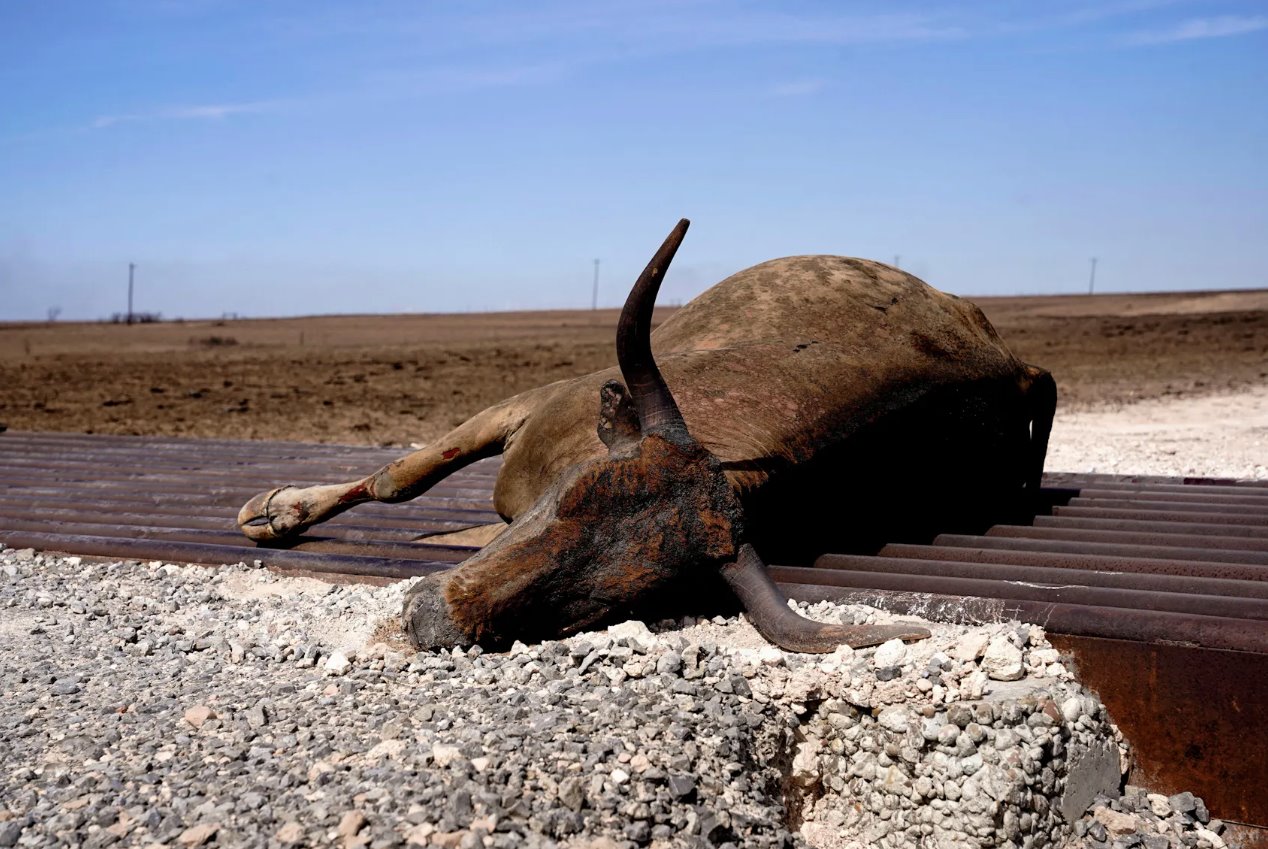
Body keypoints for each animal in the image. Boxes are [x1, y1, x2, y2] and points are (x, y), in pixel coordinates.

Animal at [238, 223, 1049, 653]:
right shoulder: (532, 402)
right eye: (570, 496)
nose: (430, 614)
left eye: (600, 602)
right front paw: (280, 509)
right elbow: (401, 476)